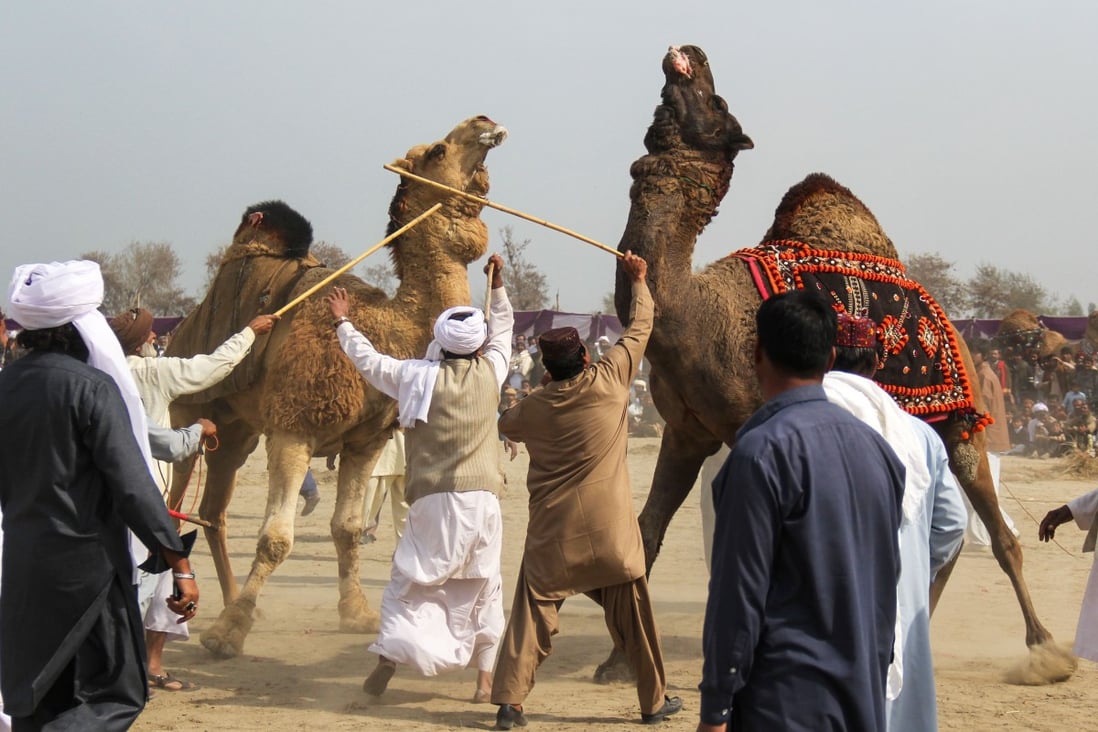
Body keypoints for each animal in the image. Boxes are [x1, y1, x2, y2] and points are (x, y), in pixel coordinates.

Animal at [165, 115, 508, 658]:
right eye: (438, 150)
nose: (485, 121)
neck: (392, 328)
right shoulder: (295, 428)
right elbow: (276, 538)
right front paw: (228, 635)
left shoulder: (365, 441)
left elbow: (346, 529)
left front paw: (358, 614)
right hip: (189, 409)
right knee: (173, 506)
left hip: (236, 431)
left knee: (213, 512)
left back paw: (234, 601)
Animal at [599, 44, 1074, 684]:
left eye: (716, 101)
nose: (690, 54)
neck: (698, 312)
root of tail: (957, 333)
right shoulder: (686, 431)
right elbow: (645, 534)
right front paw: (616, 664)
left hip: (962, 420)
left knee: (999, 535)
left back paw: (1045, 649)